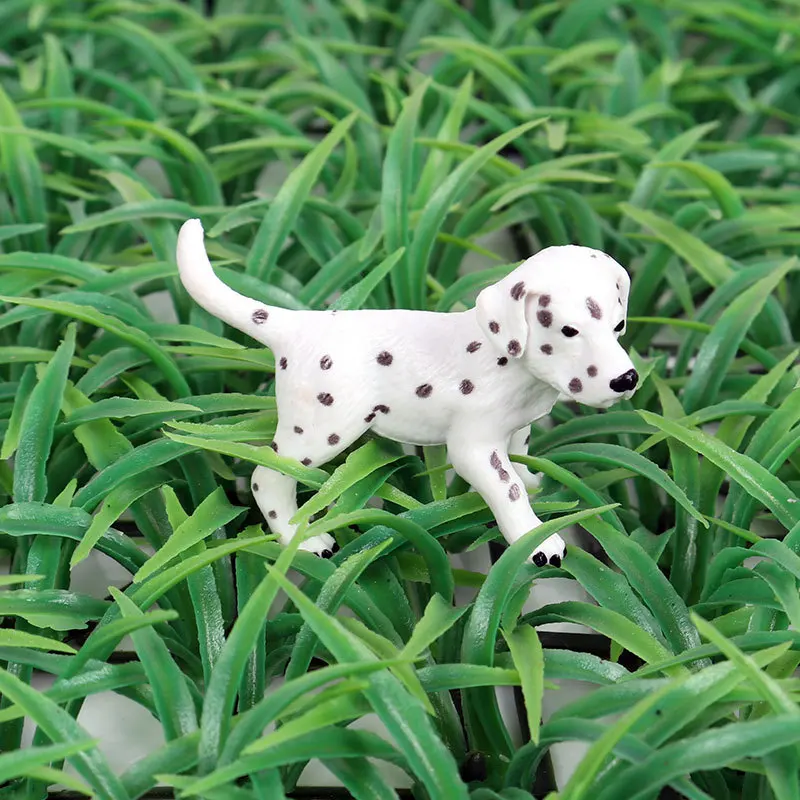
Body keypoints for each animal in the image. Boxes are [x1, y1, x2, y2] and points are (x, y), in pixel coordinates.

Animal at [175, 220, 636, 564]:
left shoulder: (516, 427)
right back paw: (301, 541)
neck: (504, 358)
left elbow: (521, 458)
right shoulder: (473, 448)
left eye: (619, 326)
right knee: (266, 478)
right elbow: (508, 490)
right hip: (318, 433)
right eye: (568, 330)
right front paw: (535, 539)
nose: (626, 380)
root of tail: (297, 326)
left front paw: (535, 481)